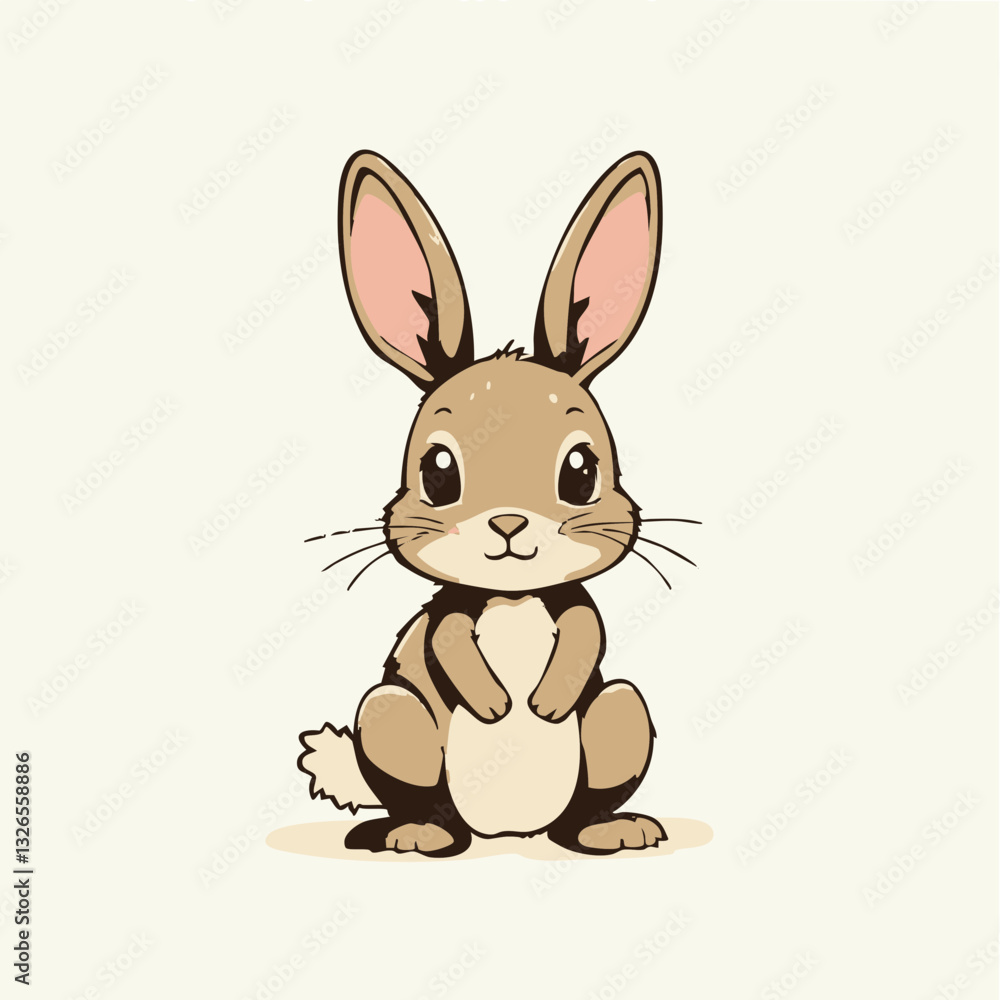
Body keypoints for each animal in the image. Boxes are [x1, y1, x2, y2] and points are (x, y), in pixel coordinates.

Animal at [298, 148, 684, 857]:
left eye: (581, 471)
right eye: (438, 472)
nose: (509, 525)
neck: (512, 597)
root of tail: (509, 832)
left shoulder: (574, 607)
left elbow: (587, 629)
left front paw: (548, 703)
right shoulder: (446, 615)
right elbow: (447, 642)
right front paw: (495, 704)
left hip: (623, 710)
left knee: (586, 797)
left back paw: (610, 830)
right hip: (389, 714)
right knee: (419, 793)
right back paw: (416, 833)